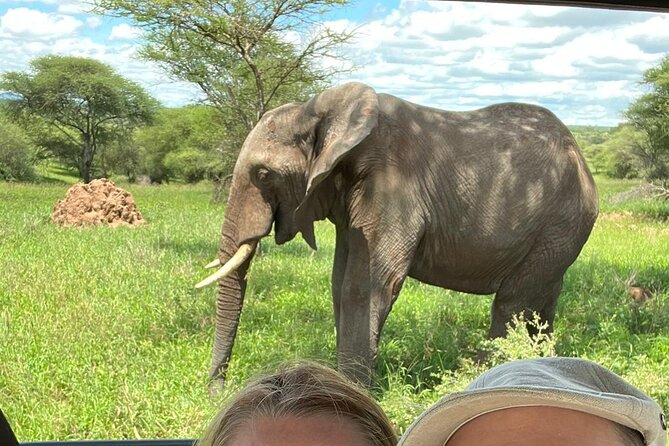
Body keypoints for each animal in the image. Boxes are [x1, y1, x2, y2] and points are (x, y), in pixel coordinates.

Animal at [196, 82, 599, 386]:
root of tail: (580, 154)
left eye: (264, 175)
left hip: (562, 221)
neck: (320, 111)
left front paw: (354, 391)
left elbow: (364, 286)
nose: (219, 389)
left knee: (512, 302)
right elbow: (339, 281)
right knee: (541, 303)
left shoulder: (392, 187)